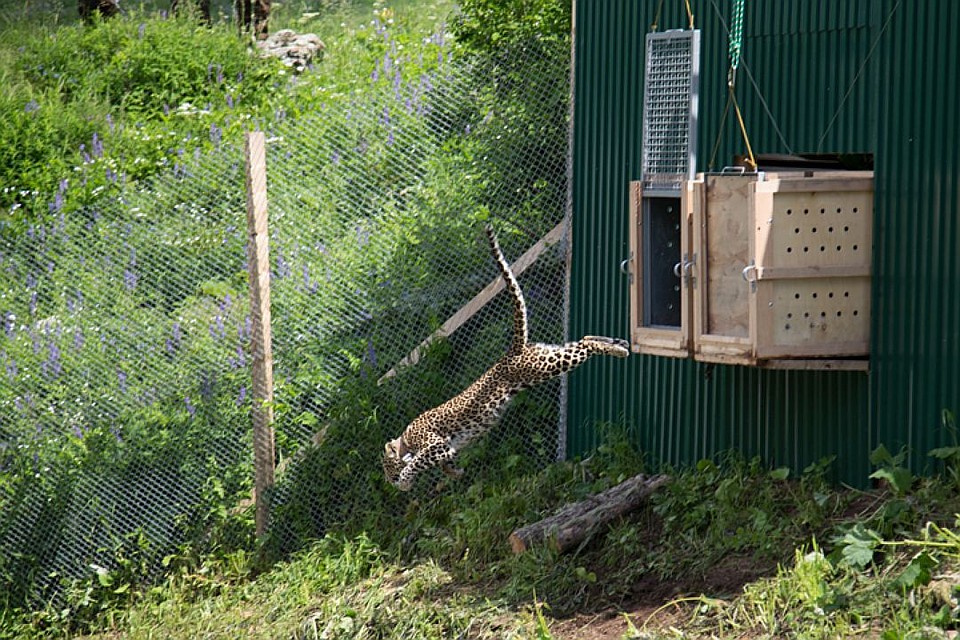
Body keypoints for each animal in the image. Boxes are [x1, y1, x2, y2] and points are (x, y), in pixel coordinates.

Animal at [382, 222, 632, 492]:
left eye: (387, 467)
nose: (389, 481)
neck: (406, 439)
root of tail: (513, 350)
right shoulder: (444, 448)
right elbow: (441, 462)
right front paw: (454, 472)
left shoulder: (434, 444)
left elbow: (416, 462)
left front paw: (405, 480)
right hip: (547, 355)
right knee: (583, 338)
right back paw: (620, 343)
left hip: (545, 365)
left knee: (584, 344)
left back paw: (618, 349)